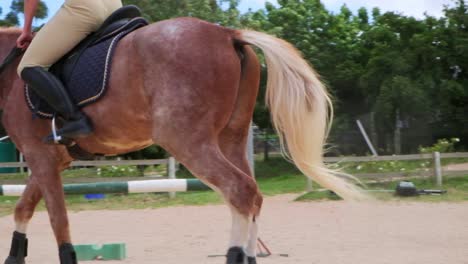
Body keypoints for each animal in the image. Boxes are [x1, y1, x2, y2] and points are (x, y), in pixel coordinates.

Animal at [0, 17, 366, 264]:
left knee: (239, 191)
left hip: (186, 141)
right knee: (253, 195)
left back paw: (234, 254)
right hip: (230, 138)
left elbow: (58, 219)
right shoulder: (49, 159)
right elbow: (23, 208)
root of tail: (227, 34)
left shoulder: (40, 156)